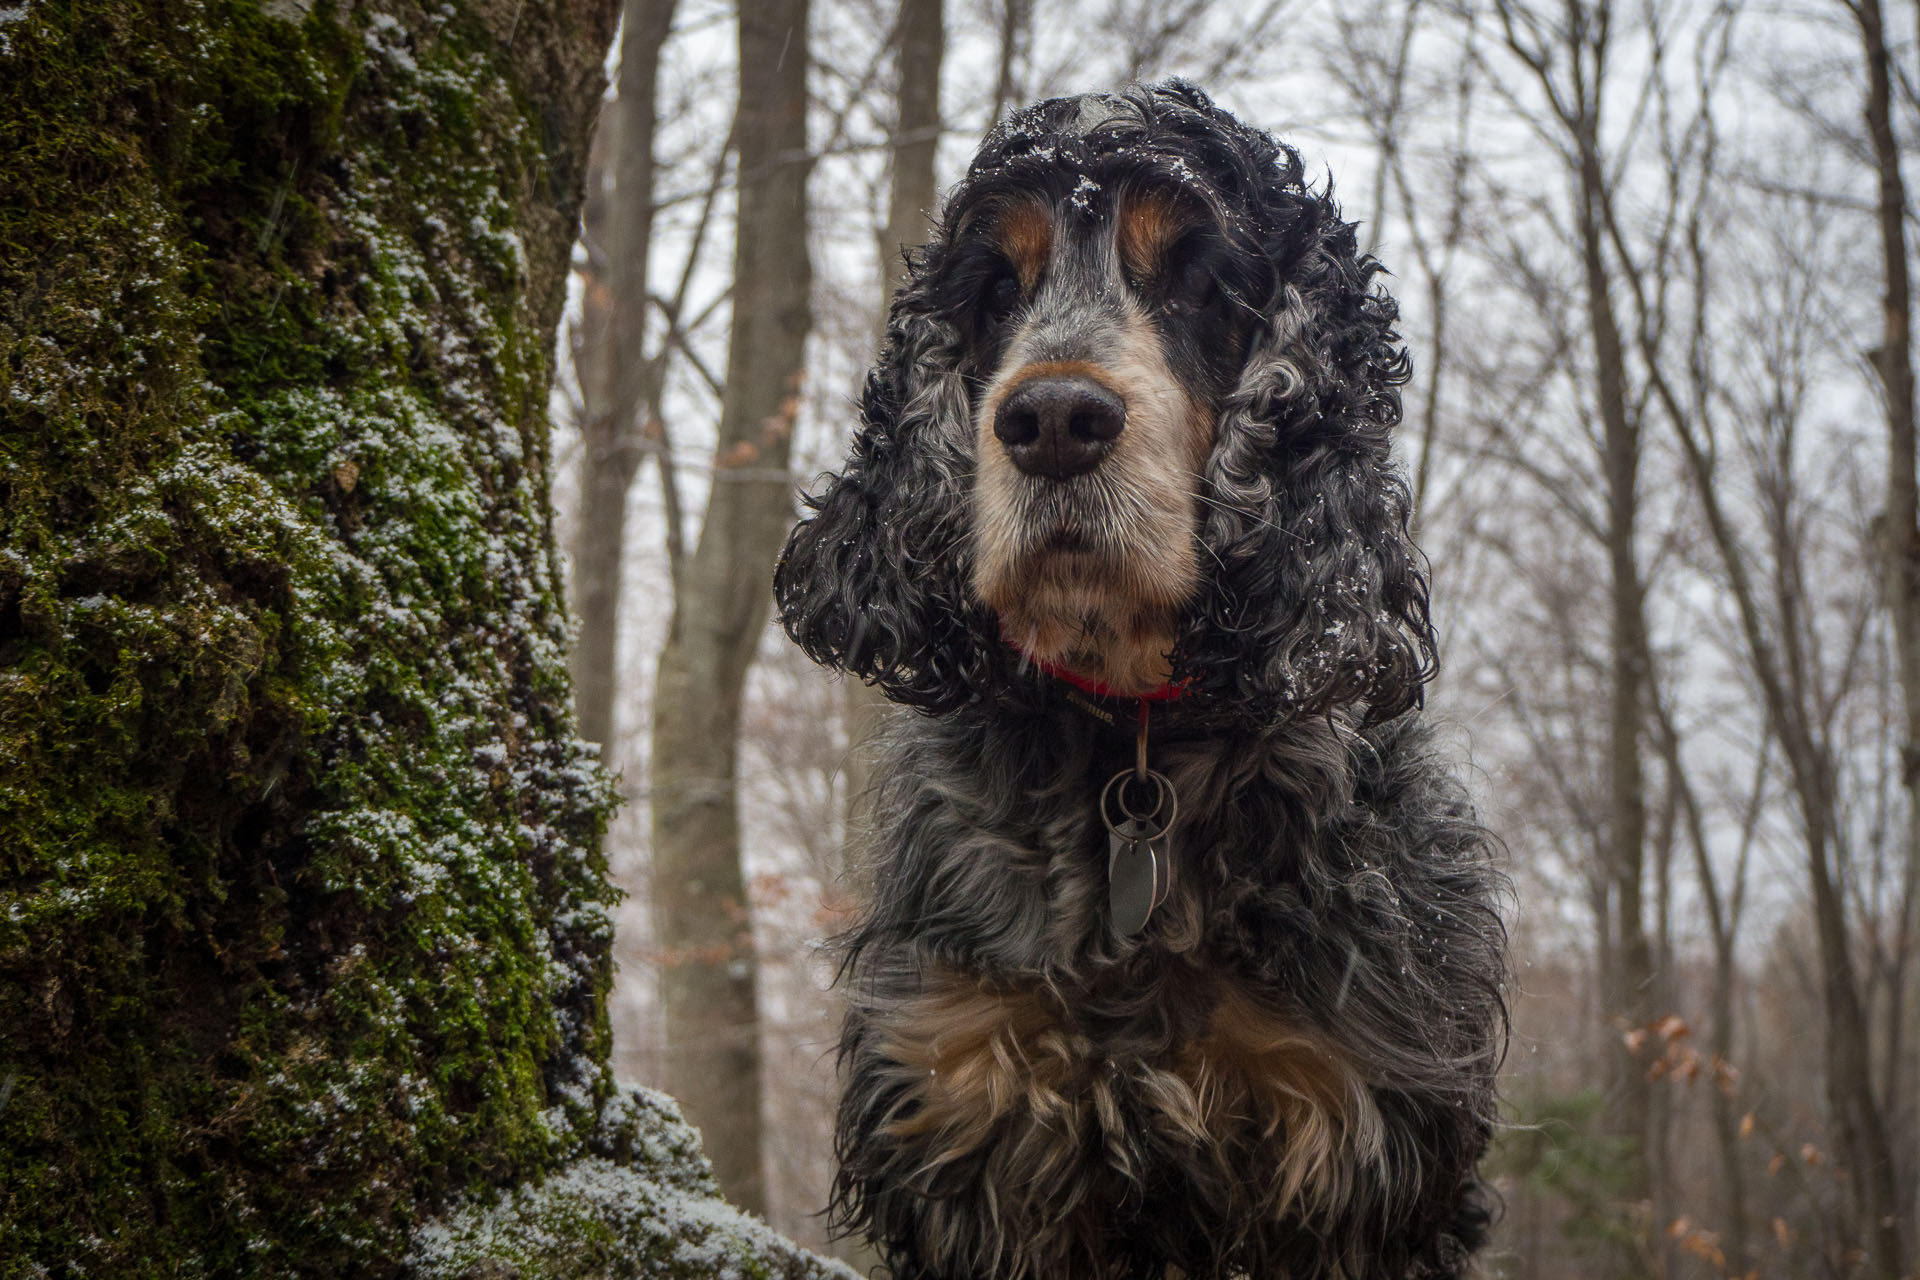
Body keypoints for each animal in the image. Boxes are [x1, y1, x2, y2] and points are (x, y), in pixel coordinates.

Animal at [771, 82, 1505, 1280]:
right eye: (997, 287)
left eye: (1201, 278)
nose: (1053, 422)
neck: (1138, 743)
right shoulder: (968, 1111)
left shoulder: (1352, 1137)